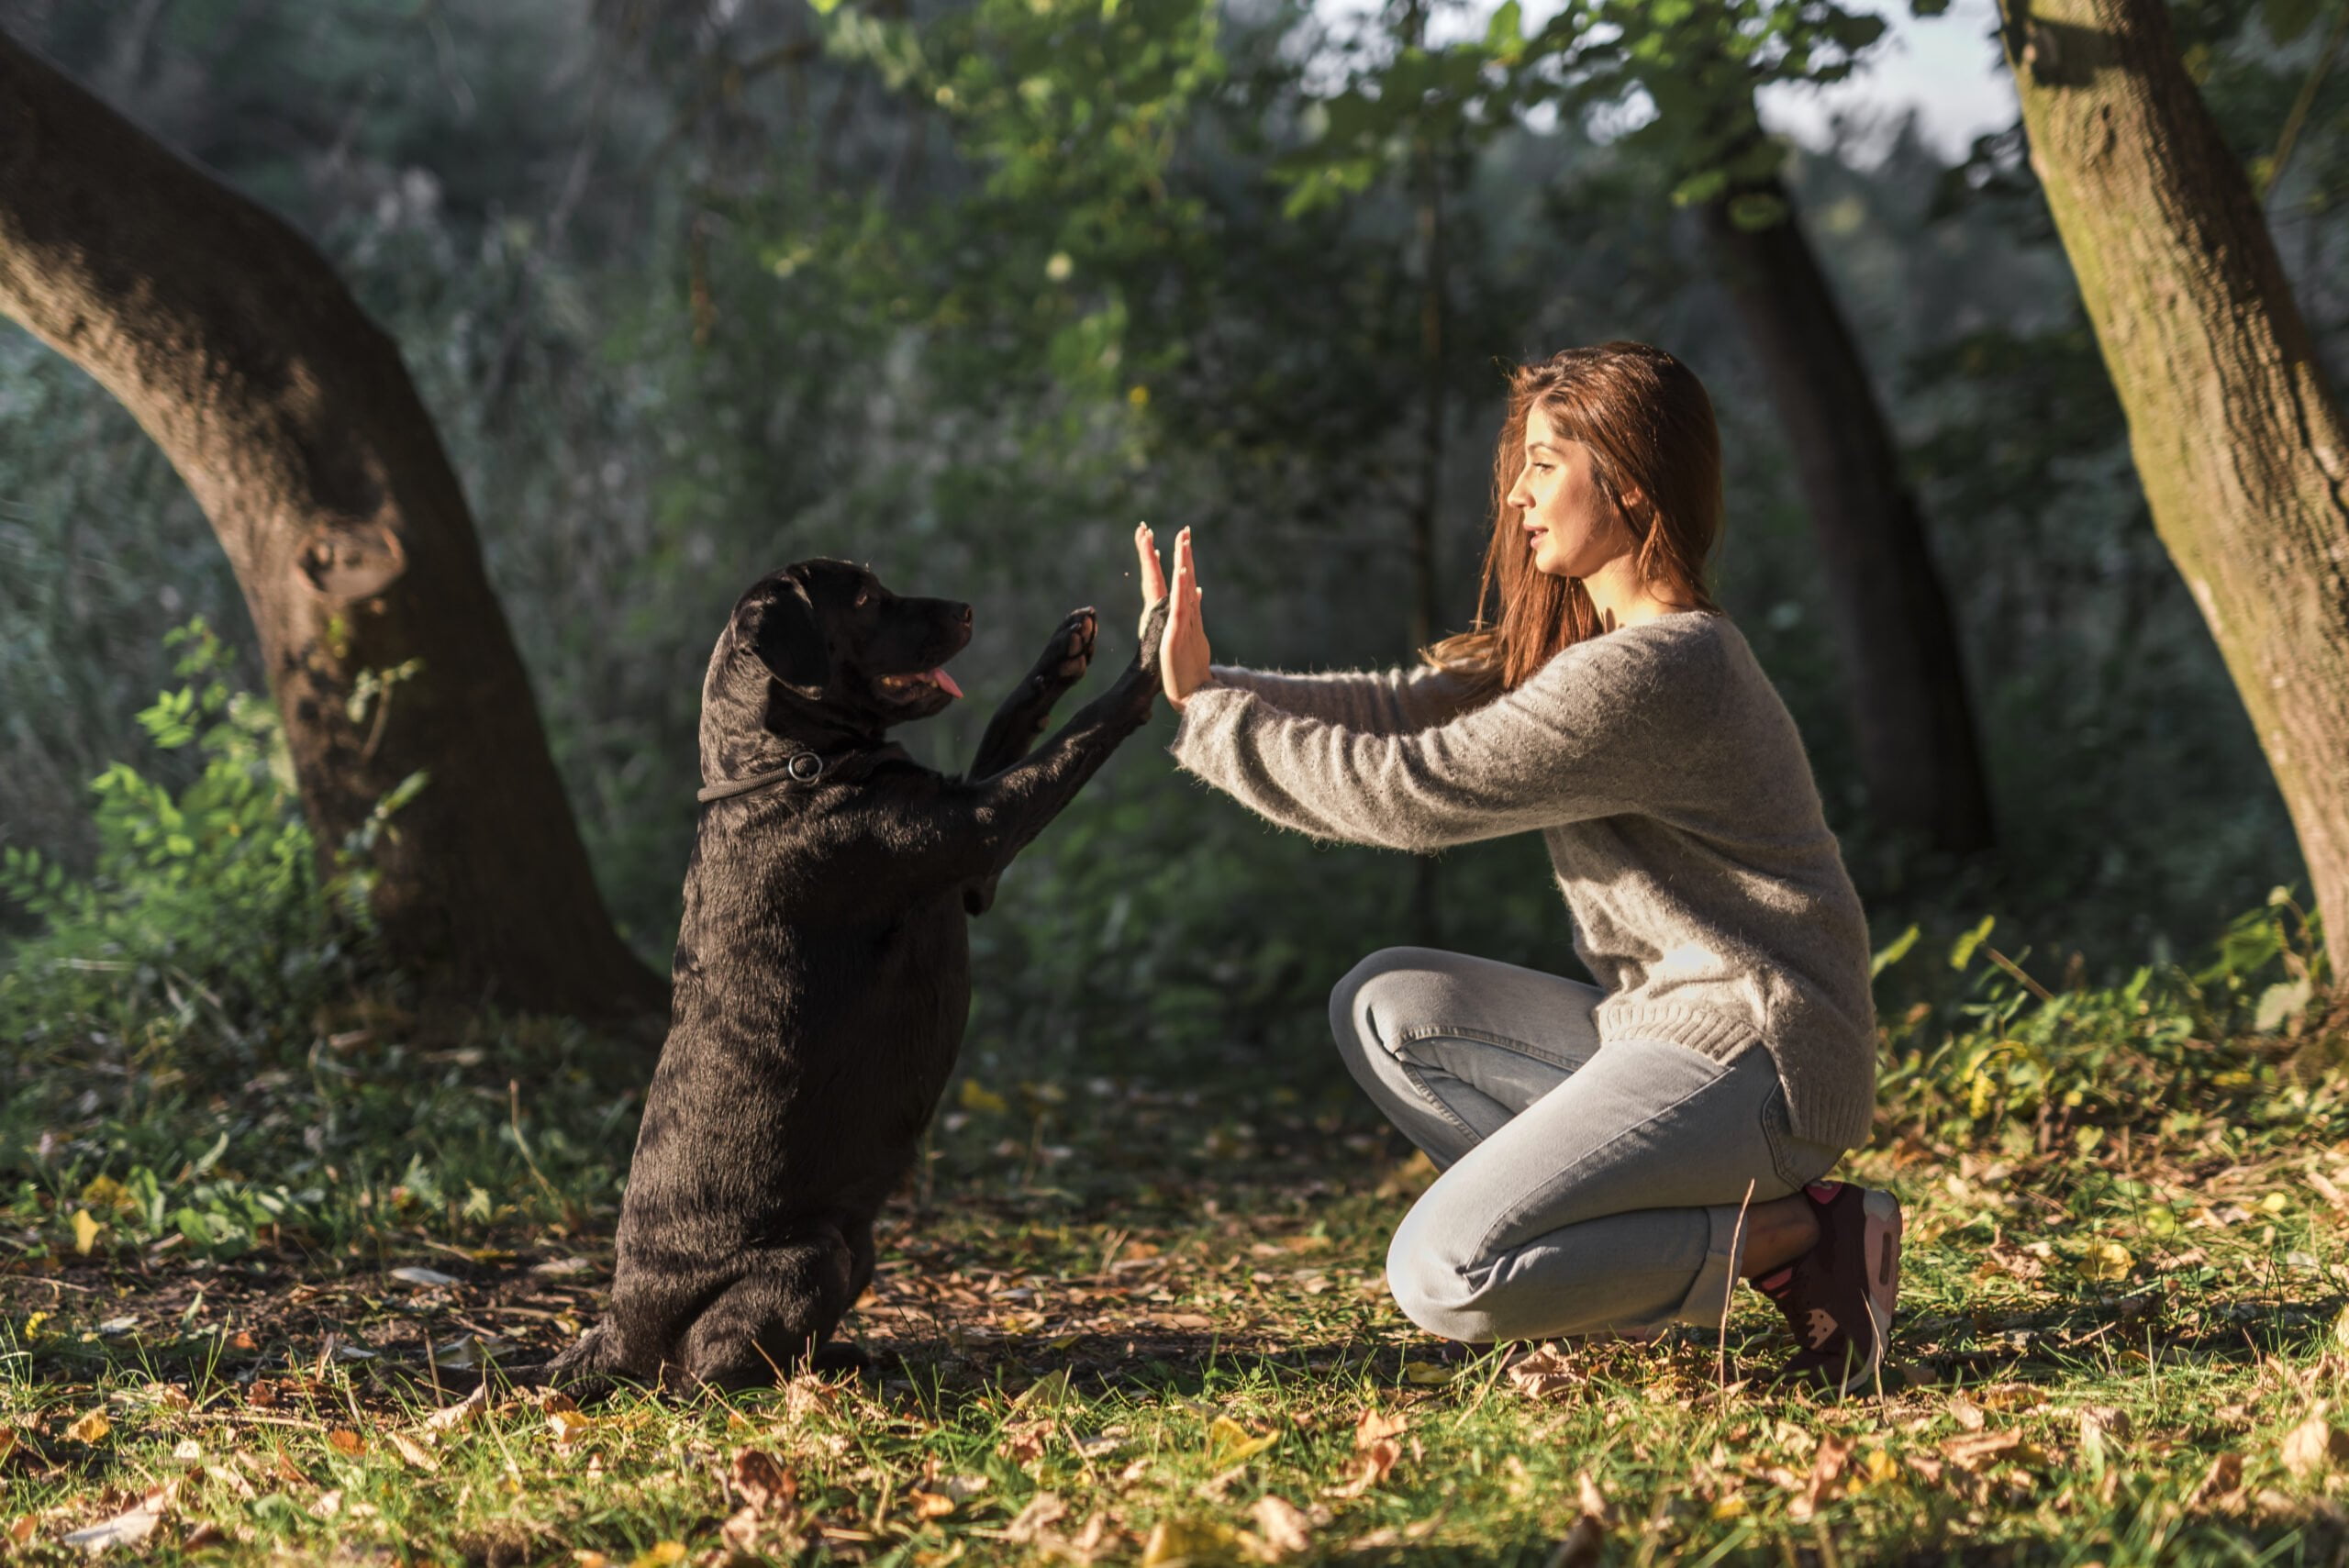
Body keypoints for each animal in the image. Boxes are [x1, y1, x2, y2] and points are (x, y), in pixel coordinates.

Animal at [542, 556, 1164, 1389]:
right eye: (867, 597)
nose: (967, 609)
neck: (787, 768)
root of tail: (616, 1329)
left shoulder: (973, 873)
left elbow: (1007, 728)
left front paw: (1062, 652)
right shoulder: (983, 830)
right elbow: (1078, 737)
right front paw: (1153, 652)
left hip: (855, 1246)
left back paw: (845, 1356)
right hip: (812, 1257)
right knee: (704, 1370)